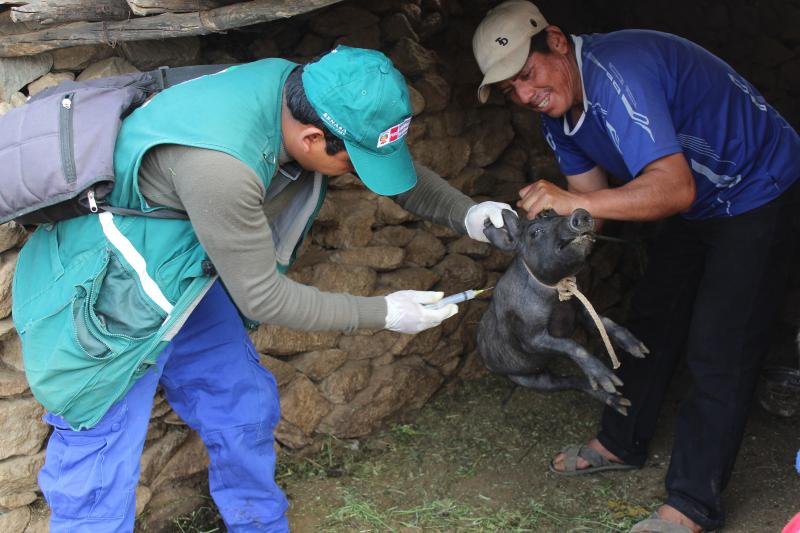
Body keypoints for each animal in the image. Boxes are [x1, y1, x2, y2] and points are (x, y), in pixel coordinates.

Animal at [478, 207, 648, 412]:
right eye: (535, 232)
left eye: (555, 213)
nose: (580, 212)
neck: (557, 298)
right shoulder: (528, 334)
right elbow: (570, 344)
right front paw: (611, 380)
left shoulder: (580, 309)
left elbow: (604, 321)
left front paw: (641, 350)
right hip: (527, 378)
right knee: (569, 382)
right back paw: (615, 394)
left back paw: (623, 403)